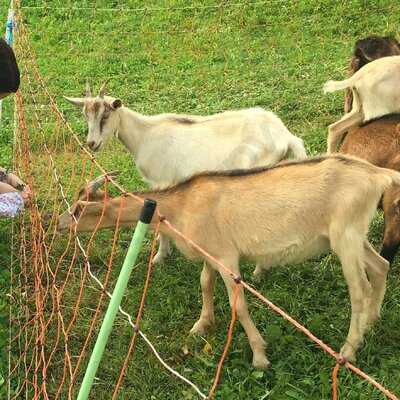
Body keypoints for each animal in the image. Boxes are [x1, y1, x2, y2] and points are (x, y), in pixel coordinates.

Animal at [64, 83, 306, 264]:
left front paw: (159, 257)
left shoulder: (160, 182)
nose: (92, 143)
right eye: (85, 115)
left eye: (105, 115)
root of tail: (285, 136)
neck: (143, 136)